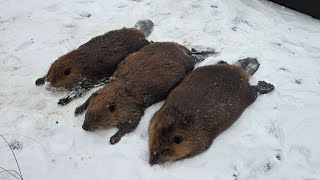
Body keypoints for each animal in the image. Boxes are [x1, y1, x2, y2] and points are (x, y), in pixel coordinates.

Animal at [74, 41, 216, 144]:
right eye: (88, 114)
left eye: (96, 118)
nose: (84, 127)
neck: (119, 88)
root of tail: (187, 51)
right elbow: (91, 96)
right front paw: (78, 109)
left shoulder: (132, 105)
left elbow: (132, 122)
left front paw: (113, 138)